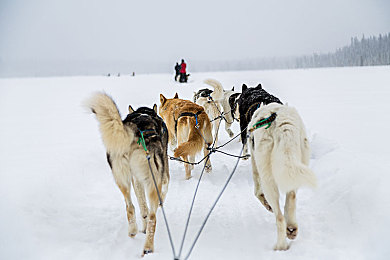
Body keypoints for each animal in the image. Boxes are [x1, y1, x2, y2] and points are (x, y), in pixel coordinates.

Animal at [86, 92, 168, 256]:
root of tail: (135, 131)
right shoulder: (162, 176)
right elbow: (165, 188)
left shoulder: (136, 179)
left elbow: (142, 208)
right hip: (153, 181)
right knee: (152, 216)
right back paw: (148, 247)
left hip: (121, 179)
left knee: (130, 207)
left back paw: (133, 231)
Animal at [250, 102, 316, 251]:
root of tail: (282, 121)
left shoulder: (255, 165)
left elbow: (257, 192)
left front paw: (265, 203)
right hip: (298, 163)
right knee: (291, 198)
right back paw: (291, 228)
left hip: (268, 178)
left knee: (279, 217)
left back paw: (280, 246)